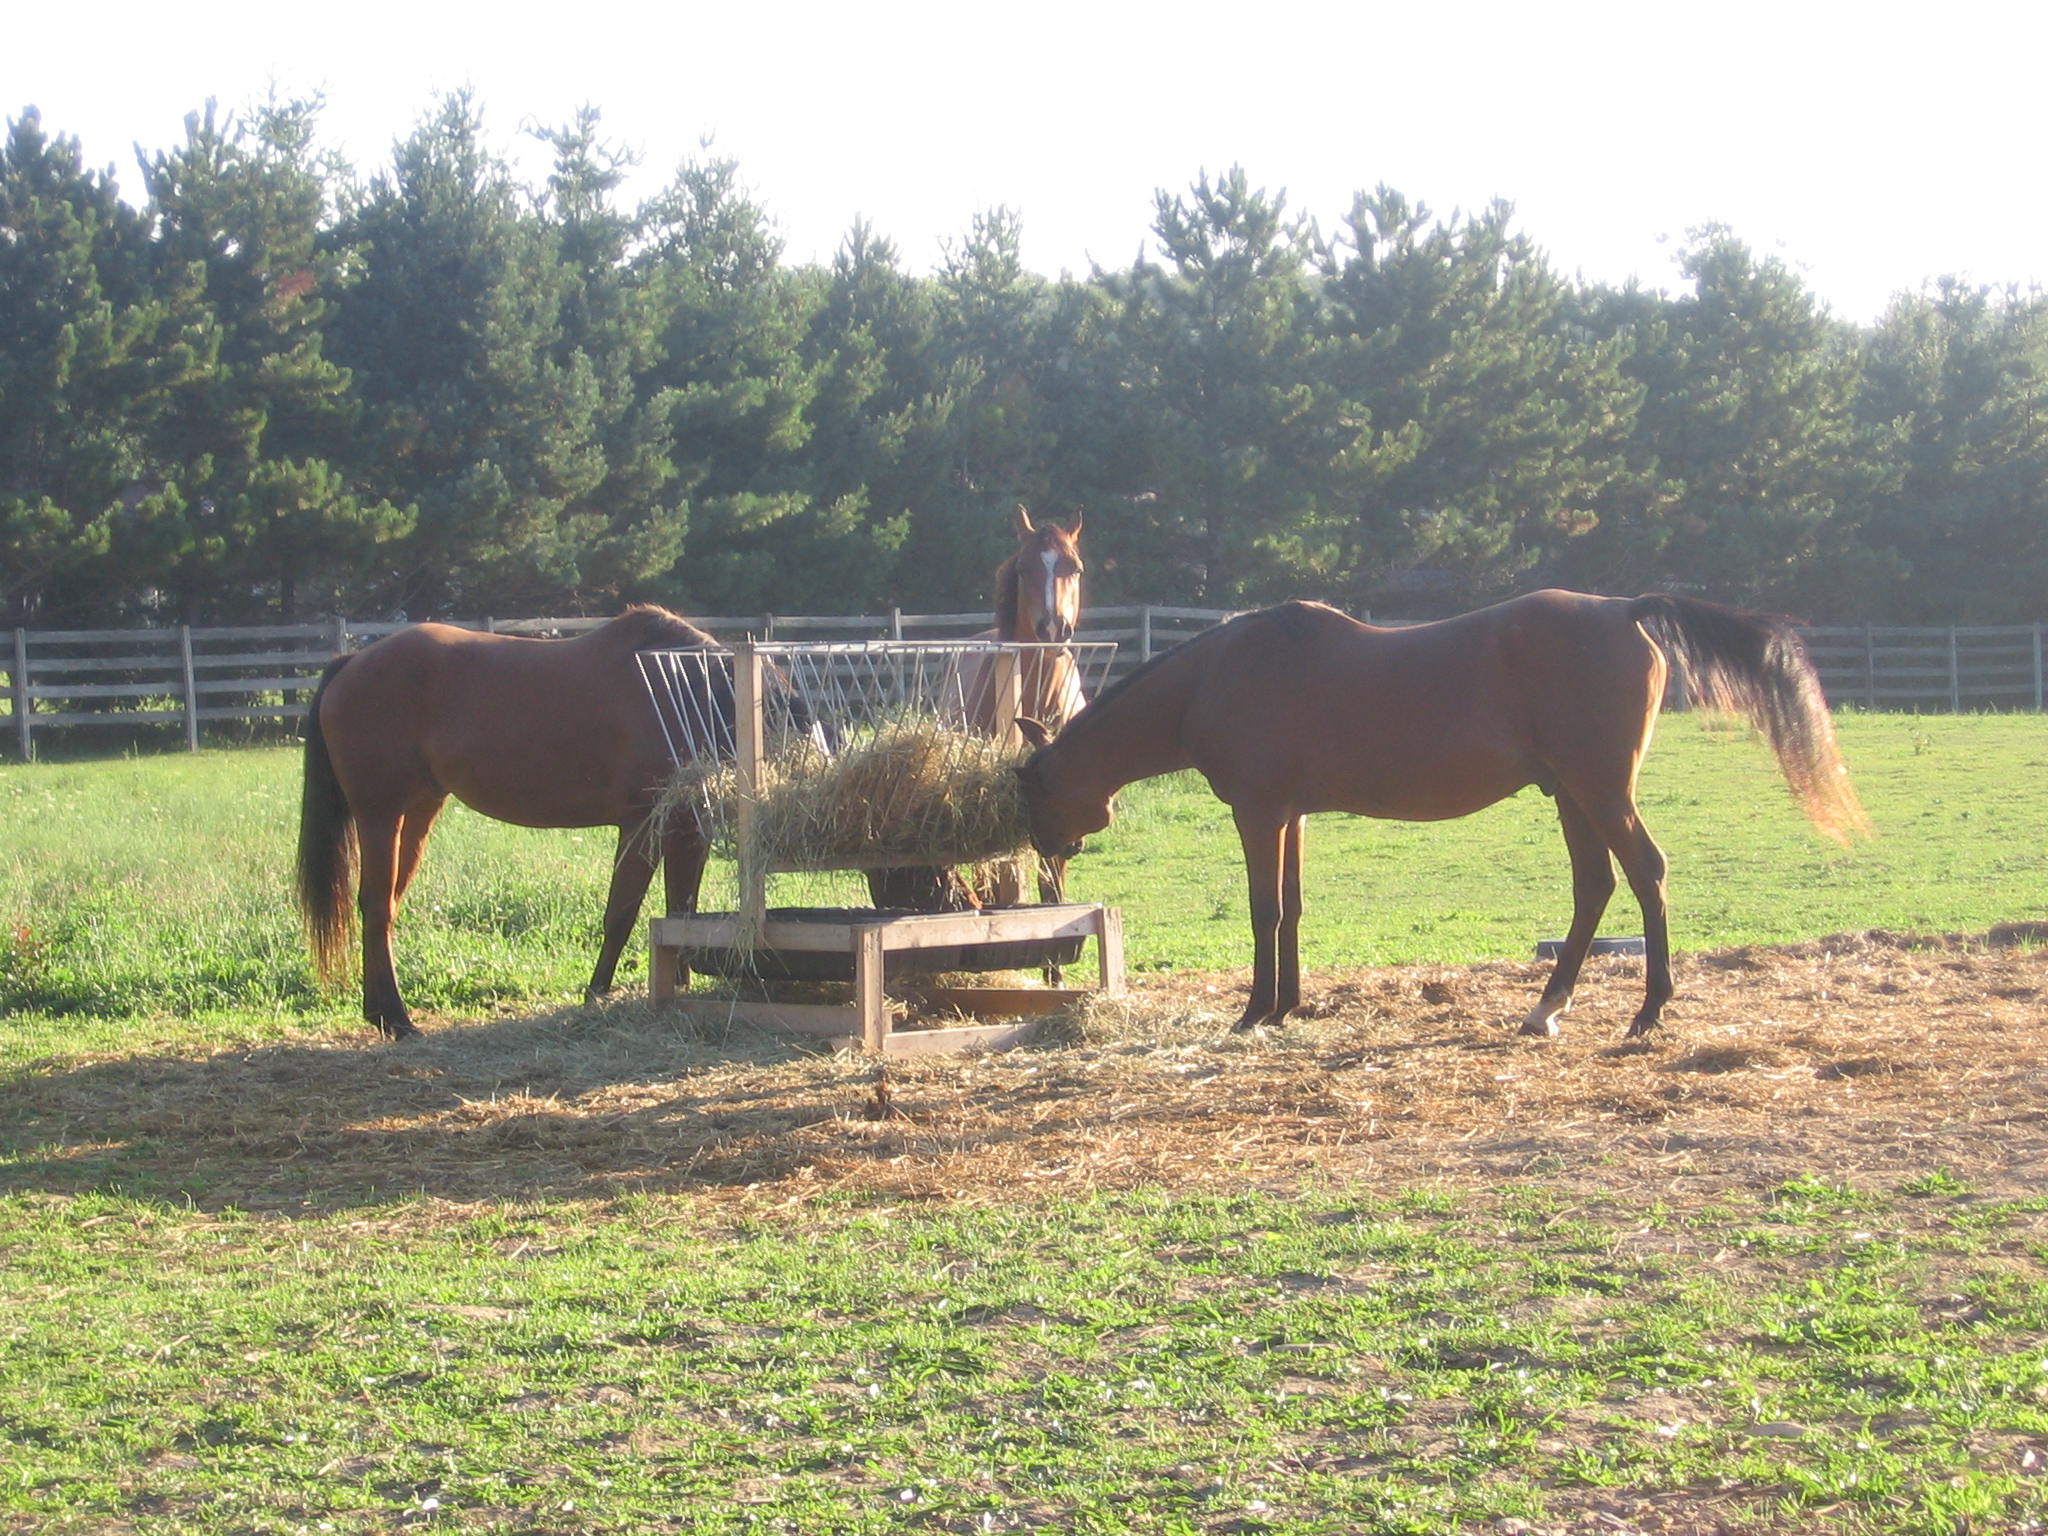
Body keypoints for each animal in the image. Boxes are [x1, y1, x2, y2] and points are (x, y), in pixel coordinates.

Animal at [296, 605, 726, 1038]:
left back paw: (380, 1012)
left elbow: (681, 911)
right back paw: (396, 1018)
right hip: (379, 816)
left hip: (416, 812)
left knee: (386, 906)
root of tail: (351, 662)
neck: (683, 690)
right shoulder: (640, 823)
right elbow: (622, 913)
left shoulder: (688, 829)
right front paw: (597, 992)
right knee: (377, 904)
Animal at [1013, 590, 1867, 1038]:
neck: (1216, 677)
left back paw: (1649, 1011)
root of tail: (1626, 609)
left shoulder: (1258, 814)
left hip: (1599, 790)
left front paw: (1256, 1012)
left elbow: (1264, 912)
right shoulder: (1291, 817)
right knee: (1595, 887)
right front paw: (1288, 1005)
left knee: (1645, 874)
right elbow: (1292, 909)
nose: (1051, 865)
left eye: (1030, 791)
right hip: (1573, 795)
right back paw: (1547, 1006)